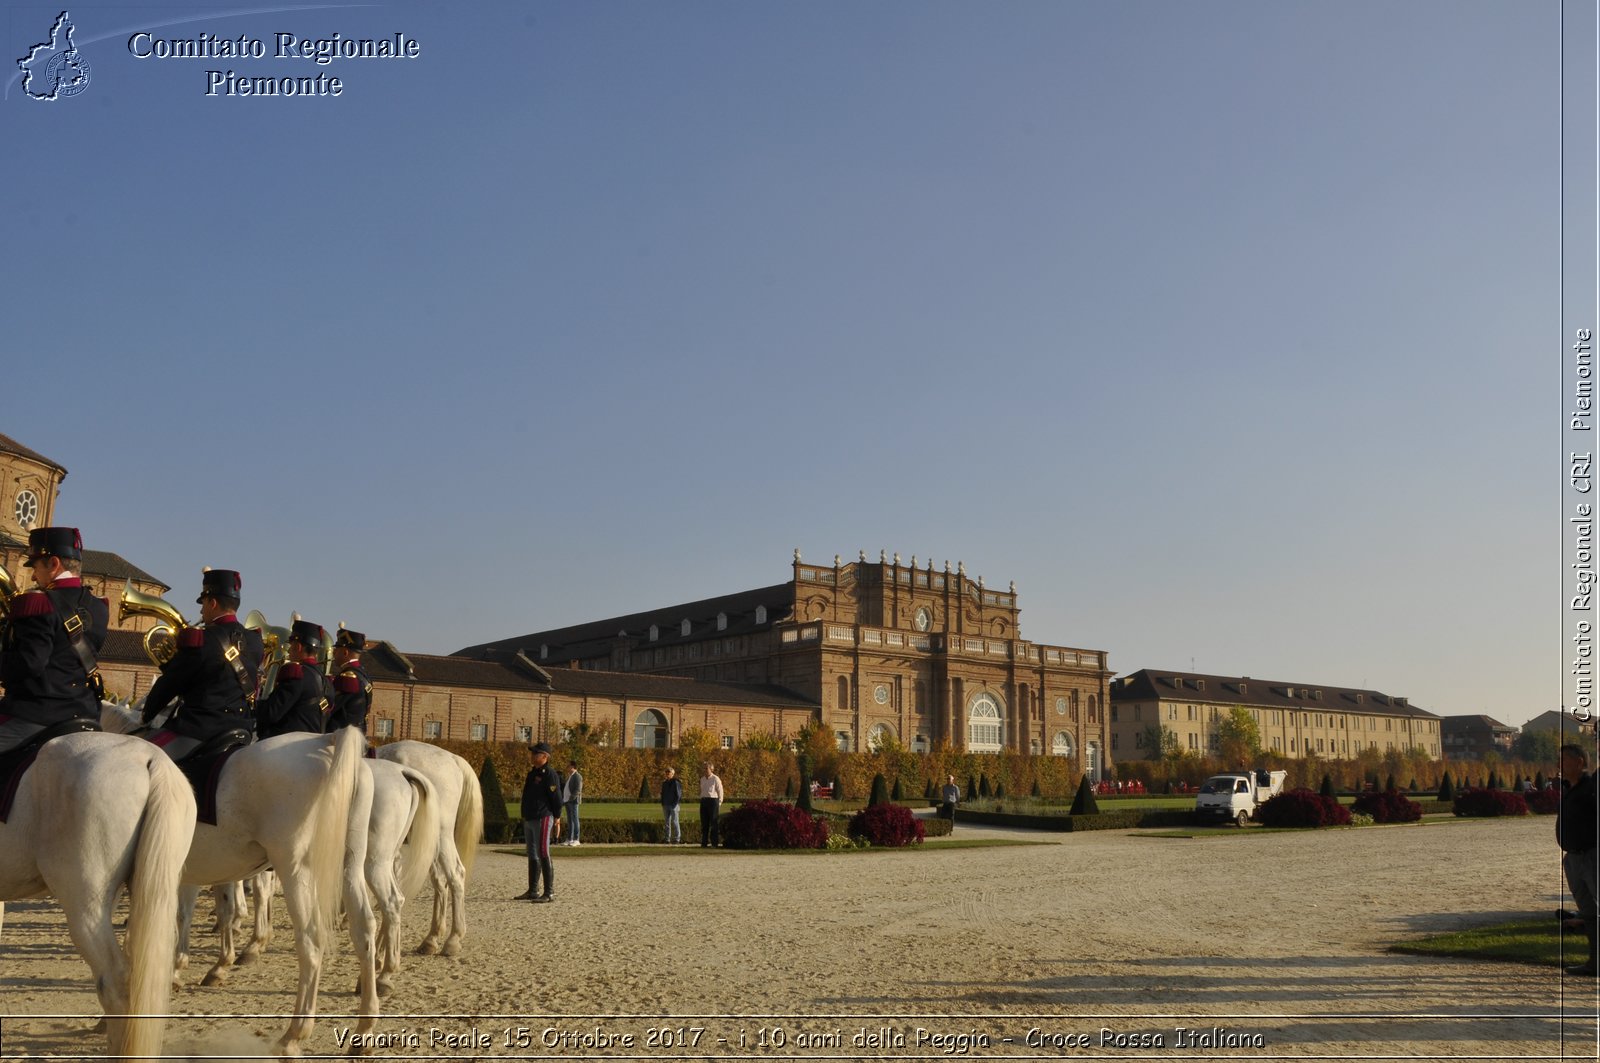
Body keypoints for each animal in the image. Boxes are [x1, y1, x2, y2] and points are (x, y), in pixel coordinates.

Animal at [101, 701, 369, 1056]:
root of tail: (326, 740)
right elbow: (200, 914)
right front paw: (197, 966)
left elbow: (152, 927)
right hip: (350, 865)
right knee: (365, 930)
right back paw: (365, 1026)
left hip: (295, 868)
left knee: (312, 941)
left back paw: (294, 1034)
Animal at [372, 742, 480, 960]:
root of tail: (452, 757)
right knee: (440, 880)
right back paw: (432, 938)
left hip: (439, 832)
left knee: (455, 874)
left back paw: (453, 939)